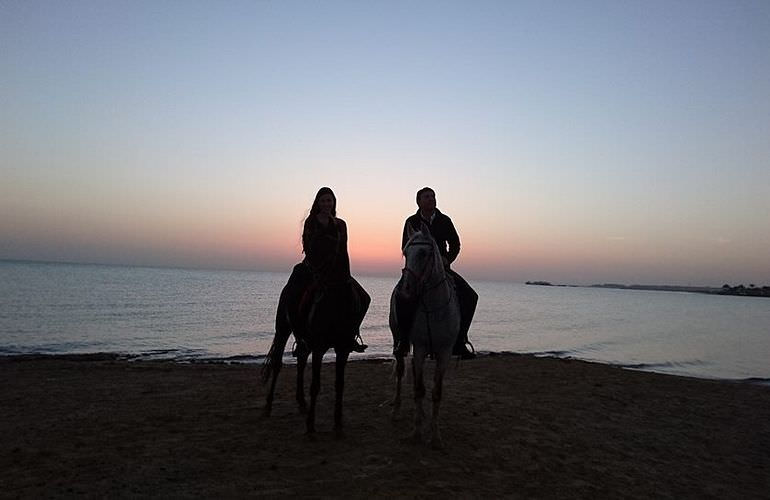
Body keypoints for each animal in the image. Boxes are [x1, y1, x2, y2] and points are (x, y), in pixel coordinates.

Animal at [260, 280, 368, 436]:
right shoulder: (318, 349)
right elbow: (315, 385)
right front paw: (310, 425)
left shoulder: (343, 350)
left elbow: (340, 384)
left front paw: (338, 424)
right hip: (283, 329)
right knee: (277, 364)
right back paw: (268, 405)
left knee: (301, 361)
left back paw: (301, 402)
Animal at [388, 223, 460, 450]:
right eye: (405, 253)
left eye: (423, 253)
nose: (406, 290)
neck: (433, 307)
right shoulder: (419, 349)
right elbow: (419, 389)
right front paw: (416, 432)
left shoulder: (444, 353)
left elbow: (436, 392)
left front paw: (435, 436)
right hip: (398, 340)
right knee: (401, 372)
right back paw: (397, 410)